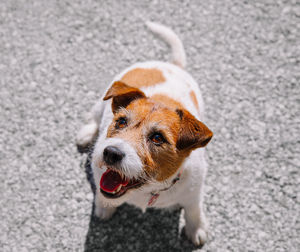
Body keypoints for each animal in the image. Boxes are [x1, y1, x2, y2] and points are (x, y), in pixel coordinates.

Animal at [77, 21, 213, 246]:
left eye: (157, 138)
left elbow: (193, 210)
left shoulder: (194, 191)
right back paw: (87, 133)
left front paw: (196, 229)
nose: (111, 152)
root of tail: (170, 65)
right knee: (94, 115)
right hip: (101, 100)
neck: (150, 189)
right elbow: (102, 196)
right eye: (121, 121)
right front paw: (104, 207)